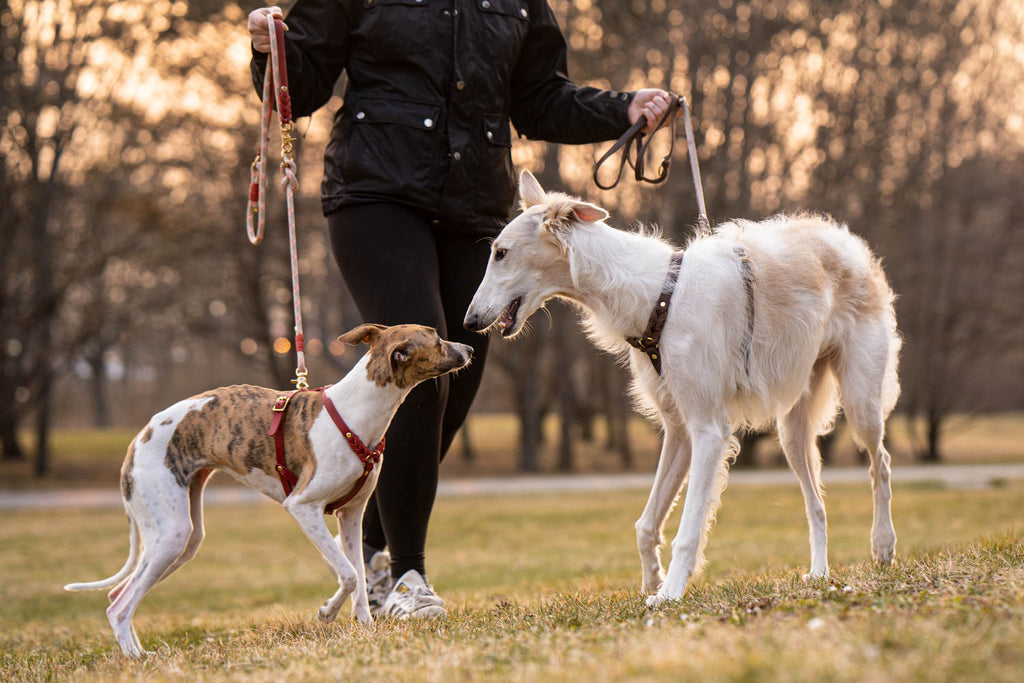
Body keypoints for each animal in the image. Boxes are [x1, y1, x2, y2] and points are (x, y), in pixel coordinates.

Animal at [66, 325, 473, 655]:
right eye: (437, 339)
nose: (470, 347)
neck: (356, 414)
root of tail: (139, 438)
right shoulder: (303, 507)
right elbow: (348, 574)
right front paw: (327, 612)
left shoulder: (350, 516)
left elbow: (357, 572)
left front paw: (364, 627)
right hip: (171, 533)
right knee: (119, 605)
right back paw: (136, 658)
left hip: (183, 538)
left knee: (118, 594)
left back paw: (138, 653)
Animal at [466, 171, 905, 610]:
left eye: (501, 253)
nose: (470, 322)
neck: (657, 297)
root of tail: (845, 240)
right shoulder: (678, 430)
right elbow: (646, 525)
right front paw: (652, 581)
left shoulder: (709, 429)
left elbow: (688, 530)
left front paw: (670, 593)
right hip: (792, 430)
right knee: (817, 505)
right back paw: (819, 573)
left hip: (860, 399)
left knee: (880, 462)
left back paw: (883, 545)